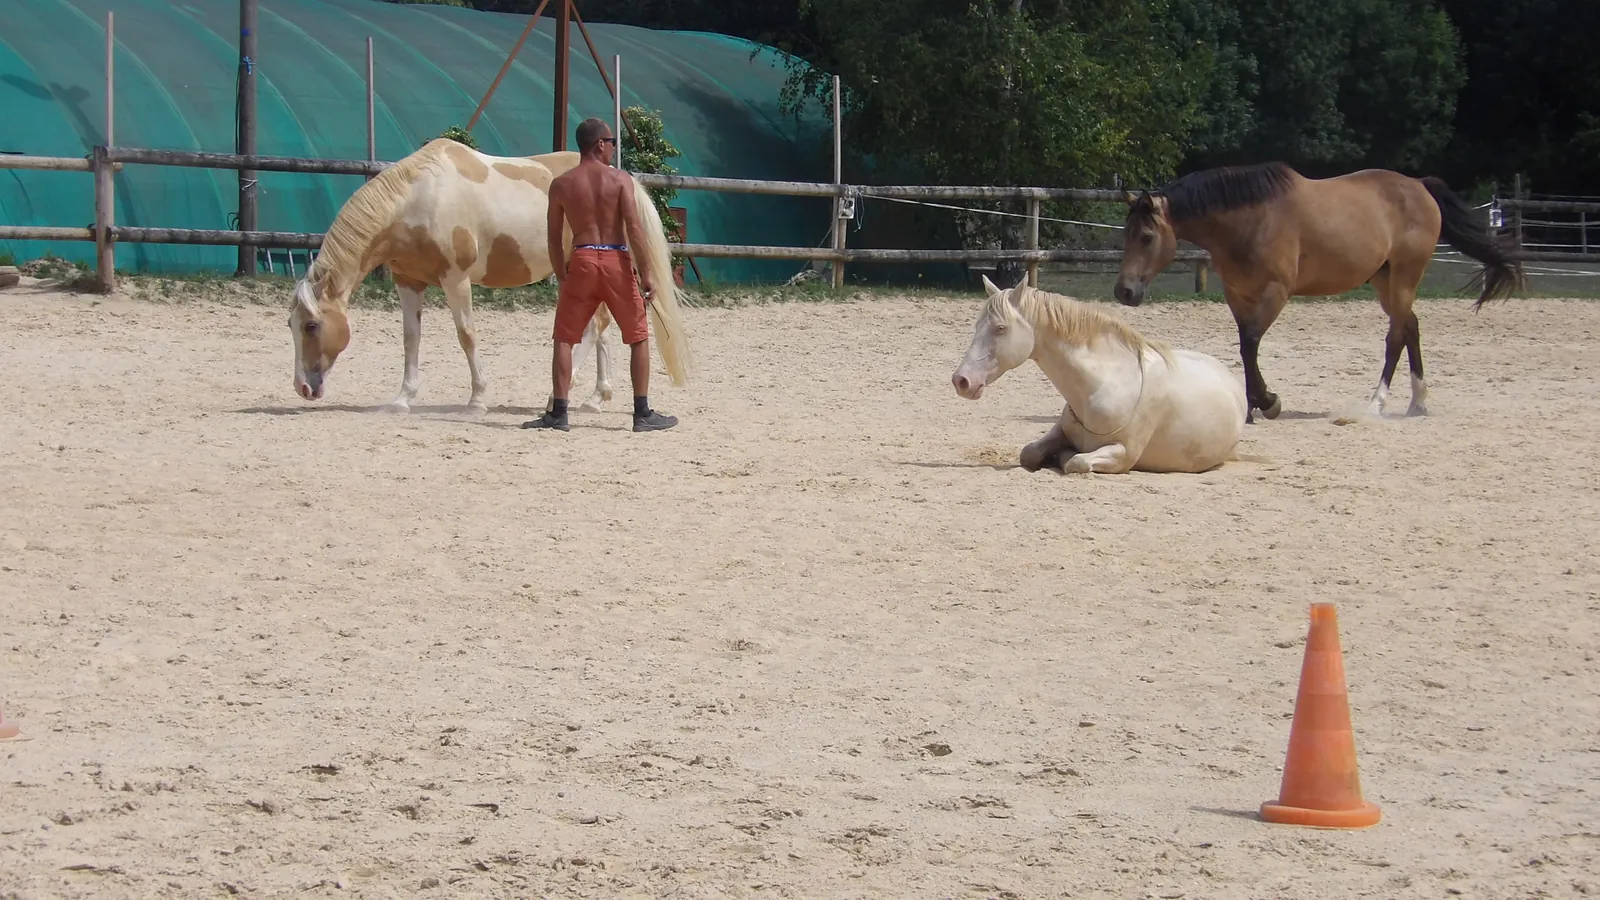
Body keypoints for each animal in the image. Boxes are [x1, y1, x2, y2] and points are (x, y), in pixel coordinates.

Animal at [287, 137, 692, 415]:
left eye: (311, 325)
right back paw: (595, 397)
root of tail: (624, 181)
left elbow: (466, 336)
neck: (420, 198)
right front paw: (402, 399)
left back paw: (559, 397)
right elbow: (410, 340)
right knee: (601, 327)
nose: (303, 388)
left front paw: (477, 399)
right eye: (290, 325)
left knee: (596, 328)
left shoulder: (456, 279)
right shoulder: (408, 282)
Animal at [952, 275, 1248, 475]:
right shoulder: (1058, 431)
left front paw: (1063, 457)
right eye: (977, 325)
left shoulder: (1124, 455)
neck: (1104, 384)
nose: (961, 380)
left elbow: (1077, 461)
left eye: (1000, 328)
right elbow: (1029, 453)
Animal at [1111, 162, 1522, 421]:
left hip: (1406, 276)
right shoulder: (1238, 295)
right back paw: (1417, 403)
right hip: (1384, 280)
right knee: (1410, 327)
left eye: (1146, 236)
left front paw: (1266, 402)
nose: (1124, 291)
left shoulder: (1275, 293)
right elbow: (1245, 345)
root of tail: (1420, 186)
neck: (1249, 220)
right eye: (1125, 235)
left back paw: (1376, 404)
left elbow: (1251, 344)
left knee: (1396, 335)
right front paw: (1255, 403)